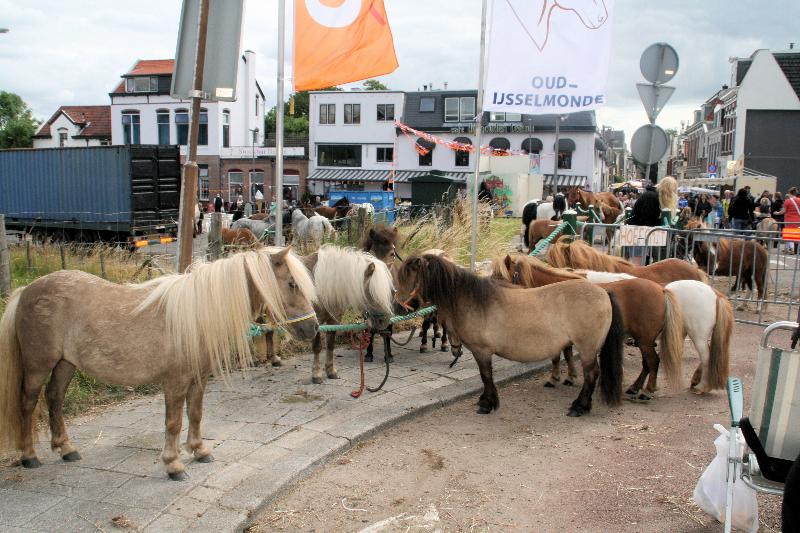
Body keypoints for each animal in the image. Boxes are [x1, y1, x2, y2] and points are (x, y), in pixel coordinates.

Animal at [0, 248, 318, 478]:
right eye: (292, 284)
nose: (313, 328)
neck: (196, 315)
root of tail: (26, 291)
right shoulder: (175, 382)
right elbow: (174, 422)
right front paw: (173, 464)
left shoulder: (199, 378)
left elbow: (196, 414)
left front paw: (199, 451)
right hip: (38, 366)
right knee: (28, 404)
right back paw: (29, 456)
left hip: (66, 364)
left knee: (55, 398)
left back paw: (66, 449)